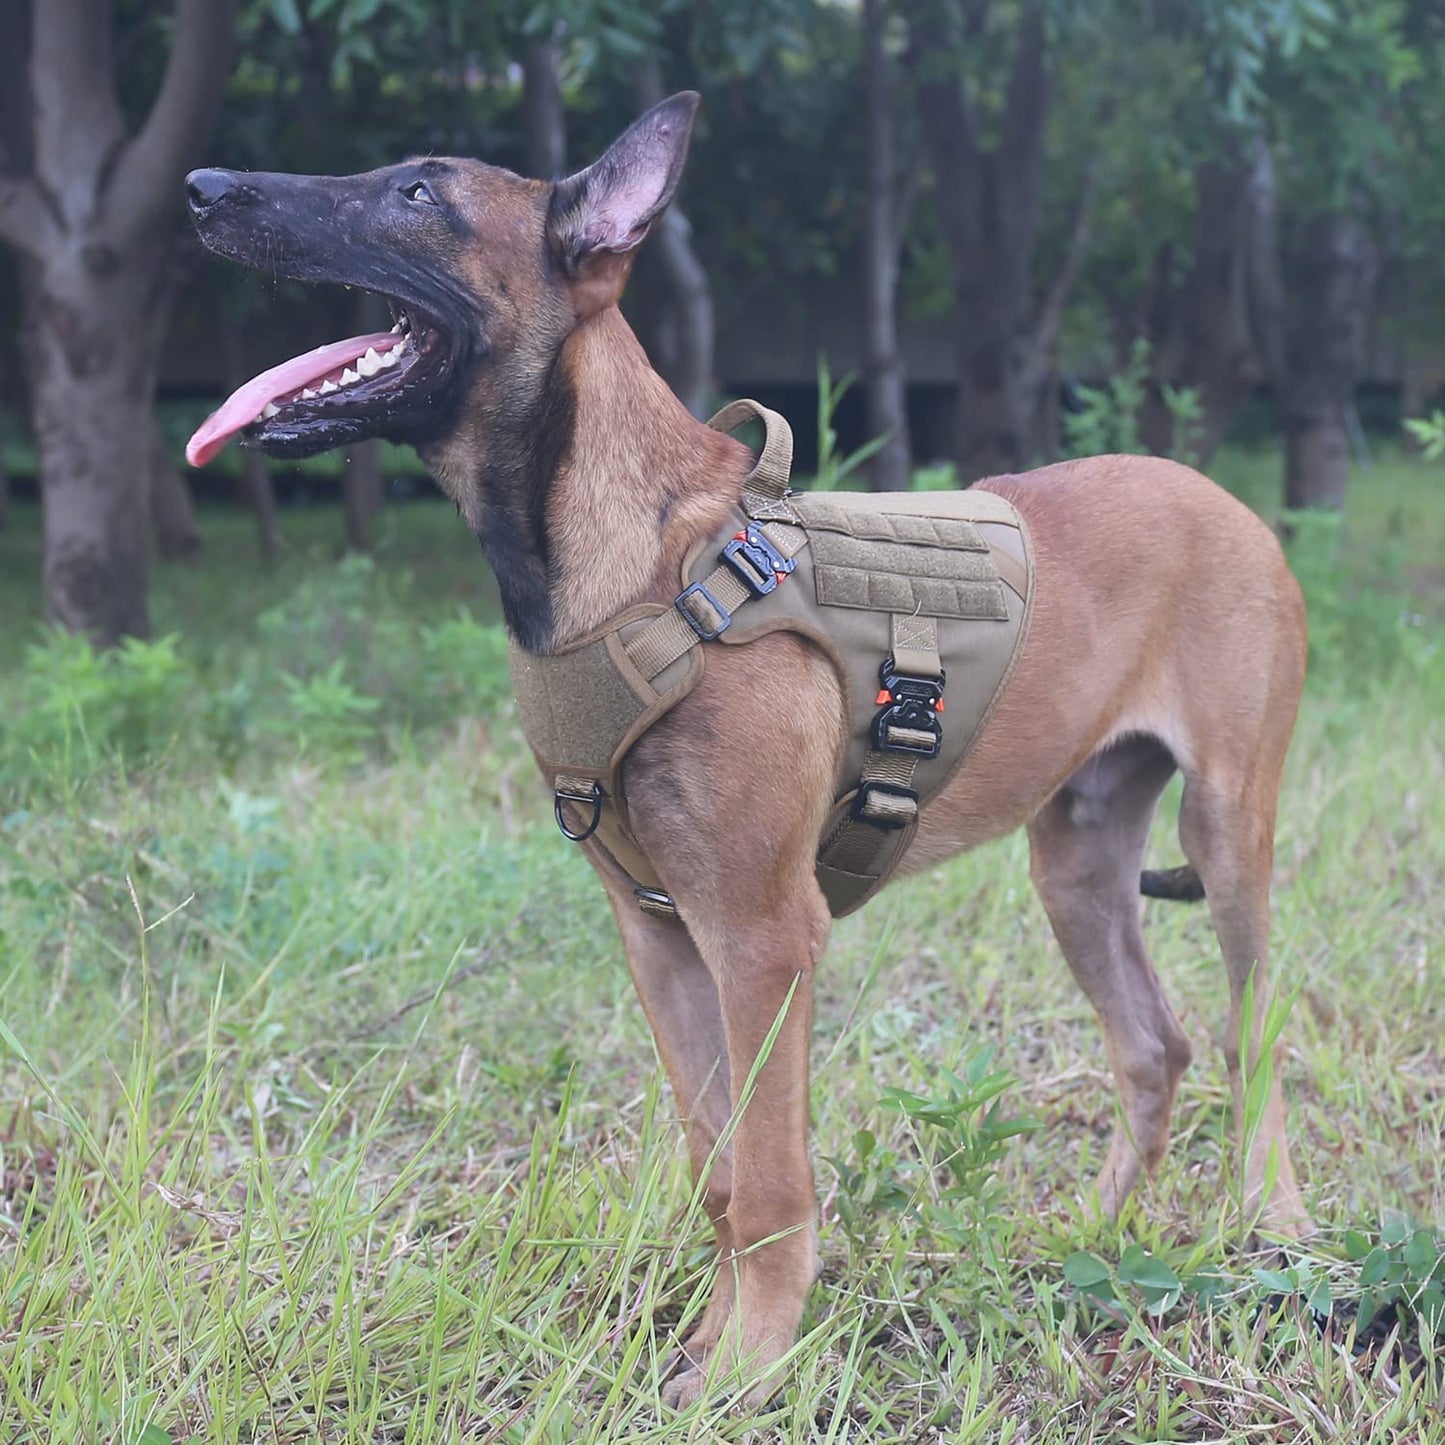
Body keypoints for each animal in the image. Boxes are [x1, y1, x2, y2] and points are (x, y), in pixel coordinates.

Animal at [186, 90, 1317, 1410]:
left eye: (418, 193)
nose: (203, 188)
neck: (635, 567)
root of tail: (1227, 501)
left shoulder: (764, 937)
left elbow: (771, 1180)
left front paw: (747, 1365)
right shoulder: (664, 935)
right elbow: (718, 1169)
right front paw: (703, 1342)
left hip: (1226, 831)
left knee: (1251, 1034)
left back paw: (1275, 1228)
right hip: (1076, 865)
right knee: (1153, 1044)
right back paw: (1094, 1232)